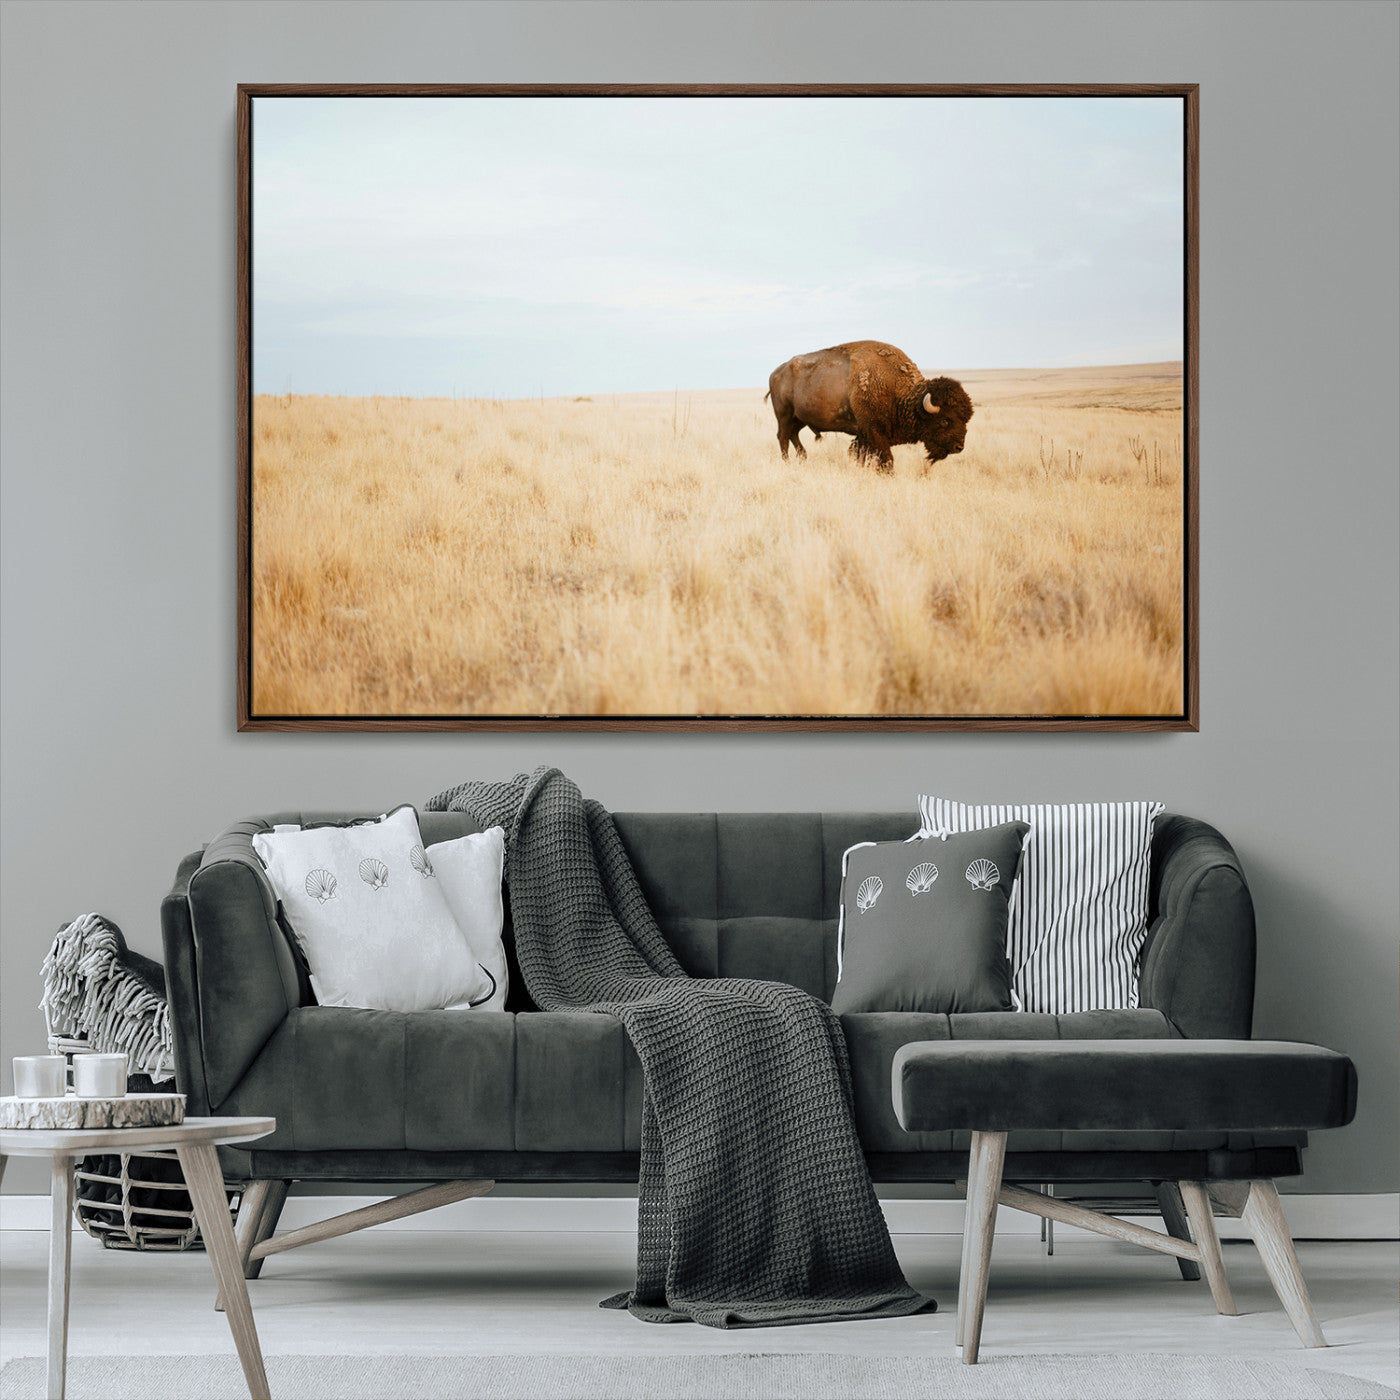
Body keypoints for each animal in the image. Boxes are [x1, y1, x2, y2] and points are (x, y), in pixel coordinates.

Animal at [766, 340, 973, 472]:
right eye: (945, 420)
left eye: (966, 419)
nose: (959, 447)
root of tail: (775, 373)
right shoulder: (874, 432)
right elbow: (886, 459)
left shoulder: (864, 435)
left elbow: (861, 455)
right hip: (784, 415)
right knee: (783, 437)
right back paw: (788, 463)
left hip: (799, 419)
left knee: (793, 435)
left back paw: (803, 458)